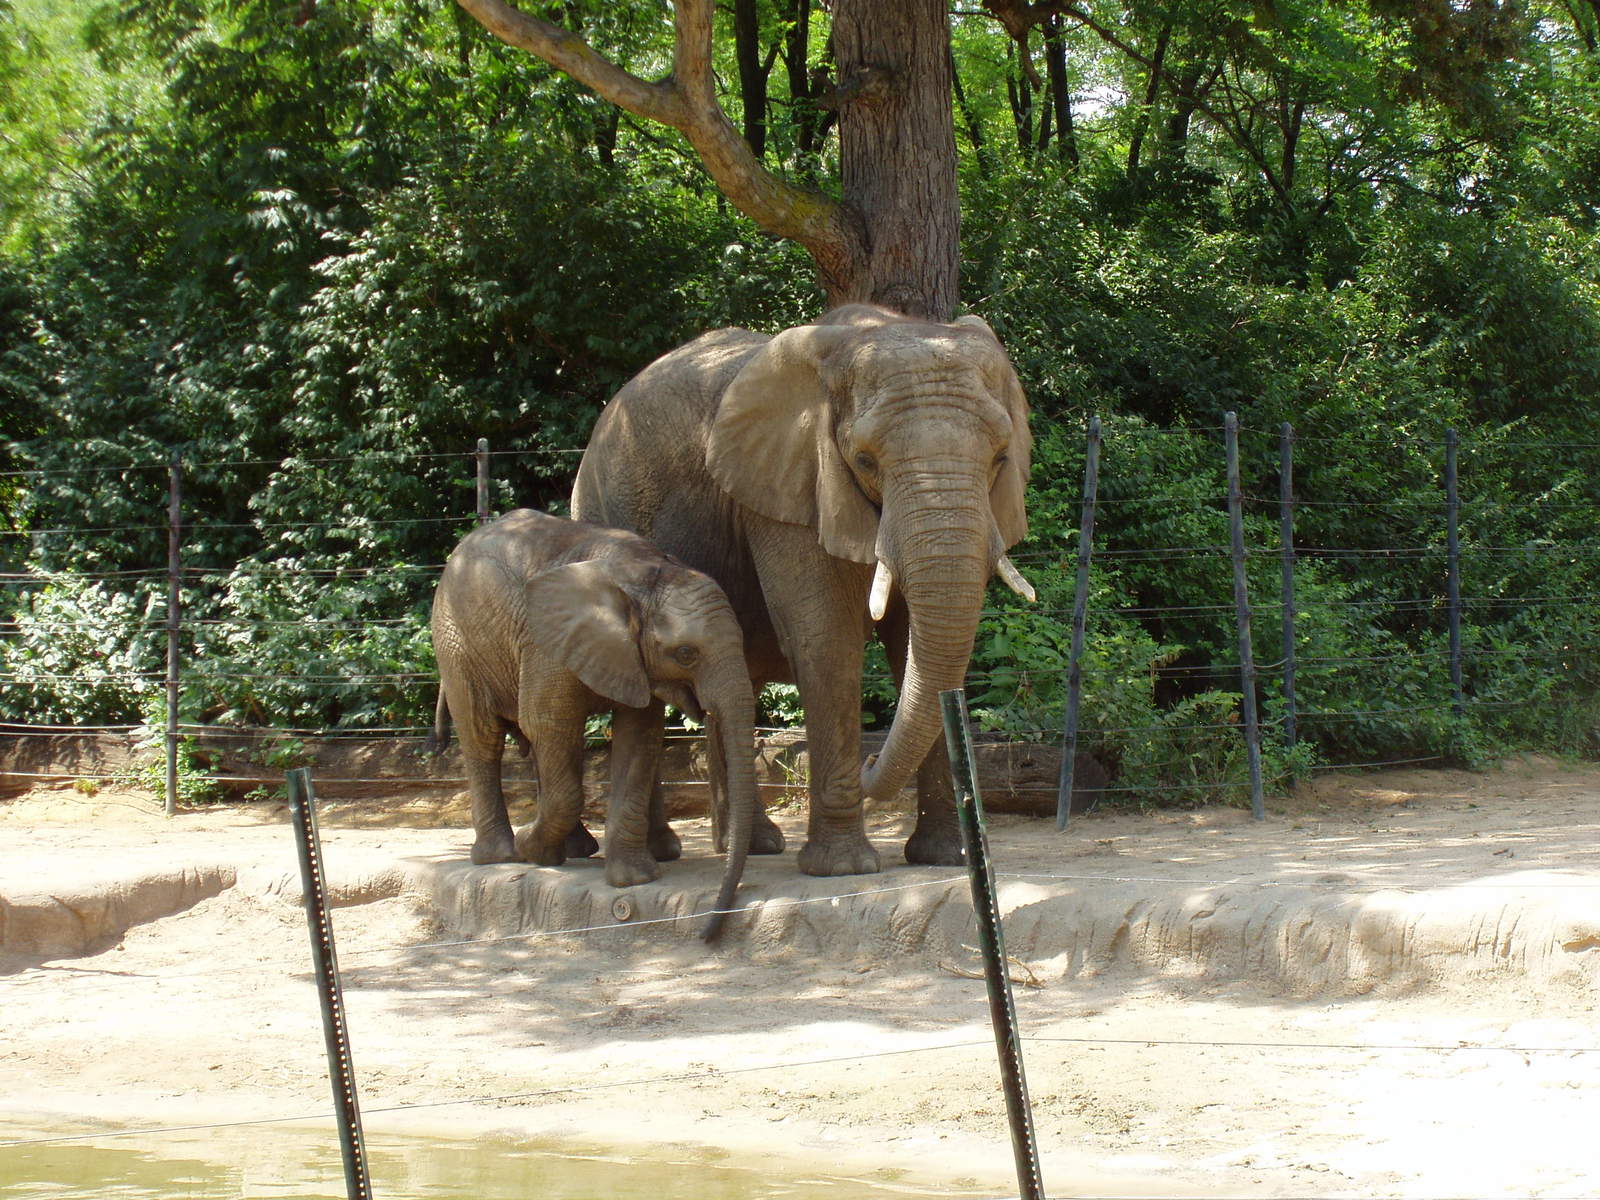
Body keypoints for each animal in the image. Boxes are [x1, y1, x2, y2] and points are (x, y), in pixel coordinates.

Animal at [429, 508, 763, 939]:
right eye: (686, 653)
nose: (706, 934)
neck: (643, 574)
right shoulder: (545, 643)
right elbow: (549, 723)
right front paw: (529, 848)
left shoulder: (633, 658)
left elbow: (639, 737)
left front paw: (633, 880)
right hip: (456, 641)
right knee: (483, 736)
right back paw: (500, 855)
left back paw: (572, 850)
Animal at [572, 304, 1033, 877]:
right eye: (865, 460)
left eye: (999, 458)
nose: (871, 760)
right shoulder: (789, 492)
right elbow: (826, 639)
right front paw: (843, 869)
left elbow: (911, 645)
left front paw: (948, 858)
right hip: (598, 505)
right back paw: (663, 853)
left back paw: (753, 845)